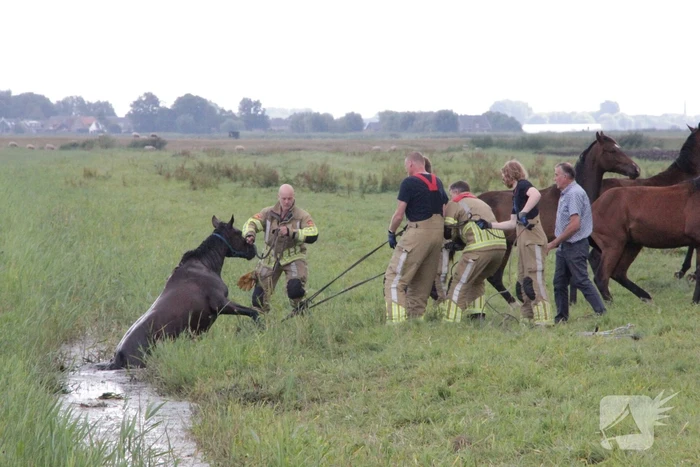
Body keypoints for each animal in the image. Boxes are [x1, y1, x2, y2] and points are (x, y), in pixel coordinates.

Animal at [98, 215, 259, 370]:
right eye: (238, 233)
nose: (254, 248)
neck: (206, 264)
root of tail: (118, 356)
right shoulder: (221, 304)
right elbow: (253, 312)